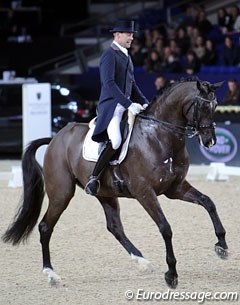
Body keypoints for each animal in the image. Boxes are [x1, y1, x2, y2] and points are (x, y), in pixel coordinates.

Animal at [1, 77, 228, 286]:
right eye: (203, 106)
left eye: (216, 106)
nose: (210, 141)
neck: (158, 136)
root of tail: (54, 139)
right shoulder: (144, 192)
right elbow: (165, 227)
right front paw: (171, 274)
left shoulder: (175, 188)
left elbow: (208, 202)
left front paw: (222, 245)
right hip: (61, 193)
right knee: (45, 226)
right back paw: (51, 273)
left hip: (105, 193)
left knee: (114, 227)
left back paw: (143, 262)